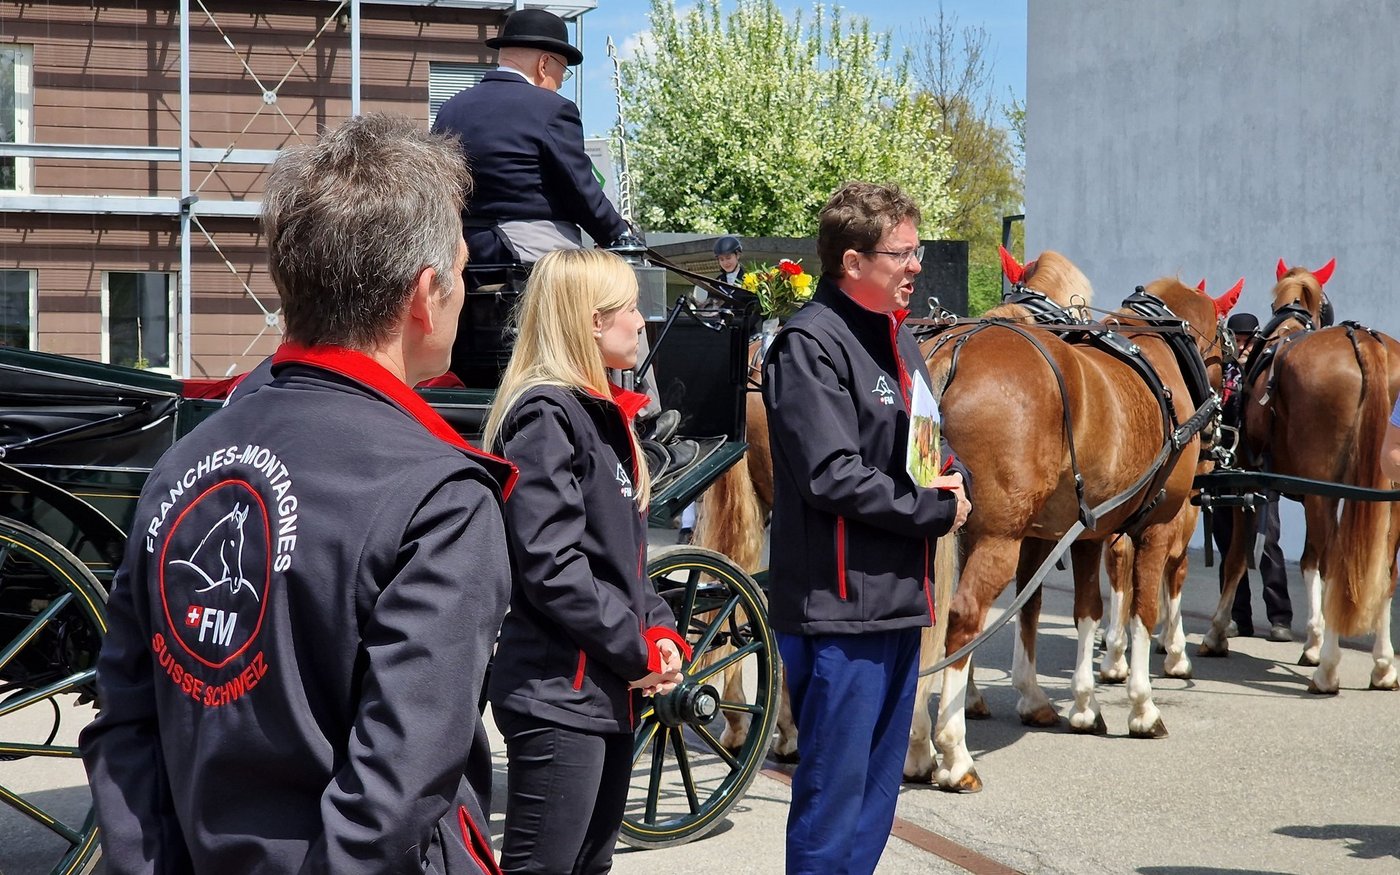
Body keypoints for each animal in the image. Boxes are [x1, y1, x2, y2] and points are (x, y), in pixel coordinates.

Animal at [924, 270, 1235, 792]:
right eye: (1229, 357)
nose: (1217, 442)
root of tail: (955, 346)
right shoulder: (1154, 528)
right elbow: (1143, 611)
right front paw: (1142, 708)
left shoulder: (1084, 531)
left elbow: (1081, 609)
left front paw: (1079, 705)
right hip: (995, 538)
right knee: (960, 618)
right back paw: (953, 755)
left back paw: (916, 750)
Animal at [1202, 259, 1400, 694]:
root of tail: (1365, 345)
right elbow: (1306, 561)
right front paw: (1312, 640)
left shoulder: (1250, 483)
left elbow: (1237, 558)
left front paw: (1217, 632)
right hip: (1385, 500)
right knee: (1385, 572)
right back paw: (1382, 665)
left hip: (1323, 496)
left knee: (1331, 566)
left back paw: (1328, 669)